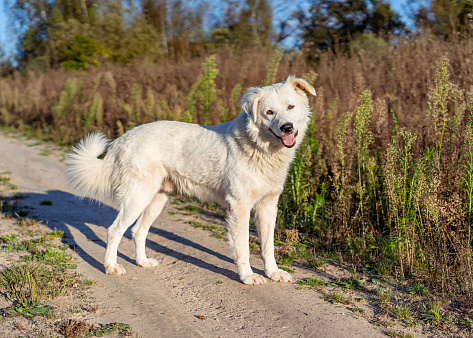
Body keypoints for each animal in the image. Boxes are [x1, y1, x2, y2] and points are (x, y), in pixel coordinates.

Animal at [65, 75, 314, 284]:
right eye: (269, 112)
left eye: (290, 107)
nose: (287, 127)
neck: (259, 148)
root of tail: (123, 138)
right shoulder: (239, 207)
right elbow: (243, 247)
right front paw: (248, 276)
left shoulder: (268, 206)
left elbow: (267, 246)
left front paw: (273, 272)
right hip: (137, 197)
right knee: (114, 230)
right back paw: (111, 267)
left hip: (157, 199)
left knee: (138, 231)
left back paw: (142, 262)